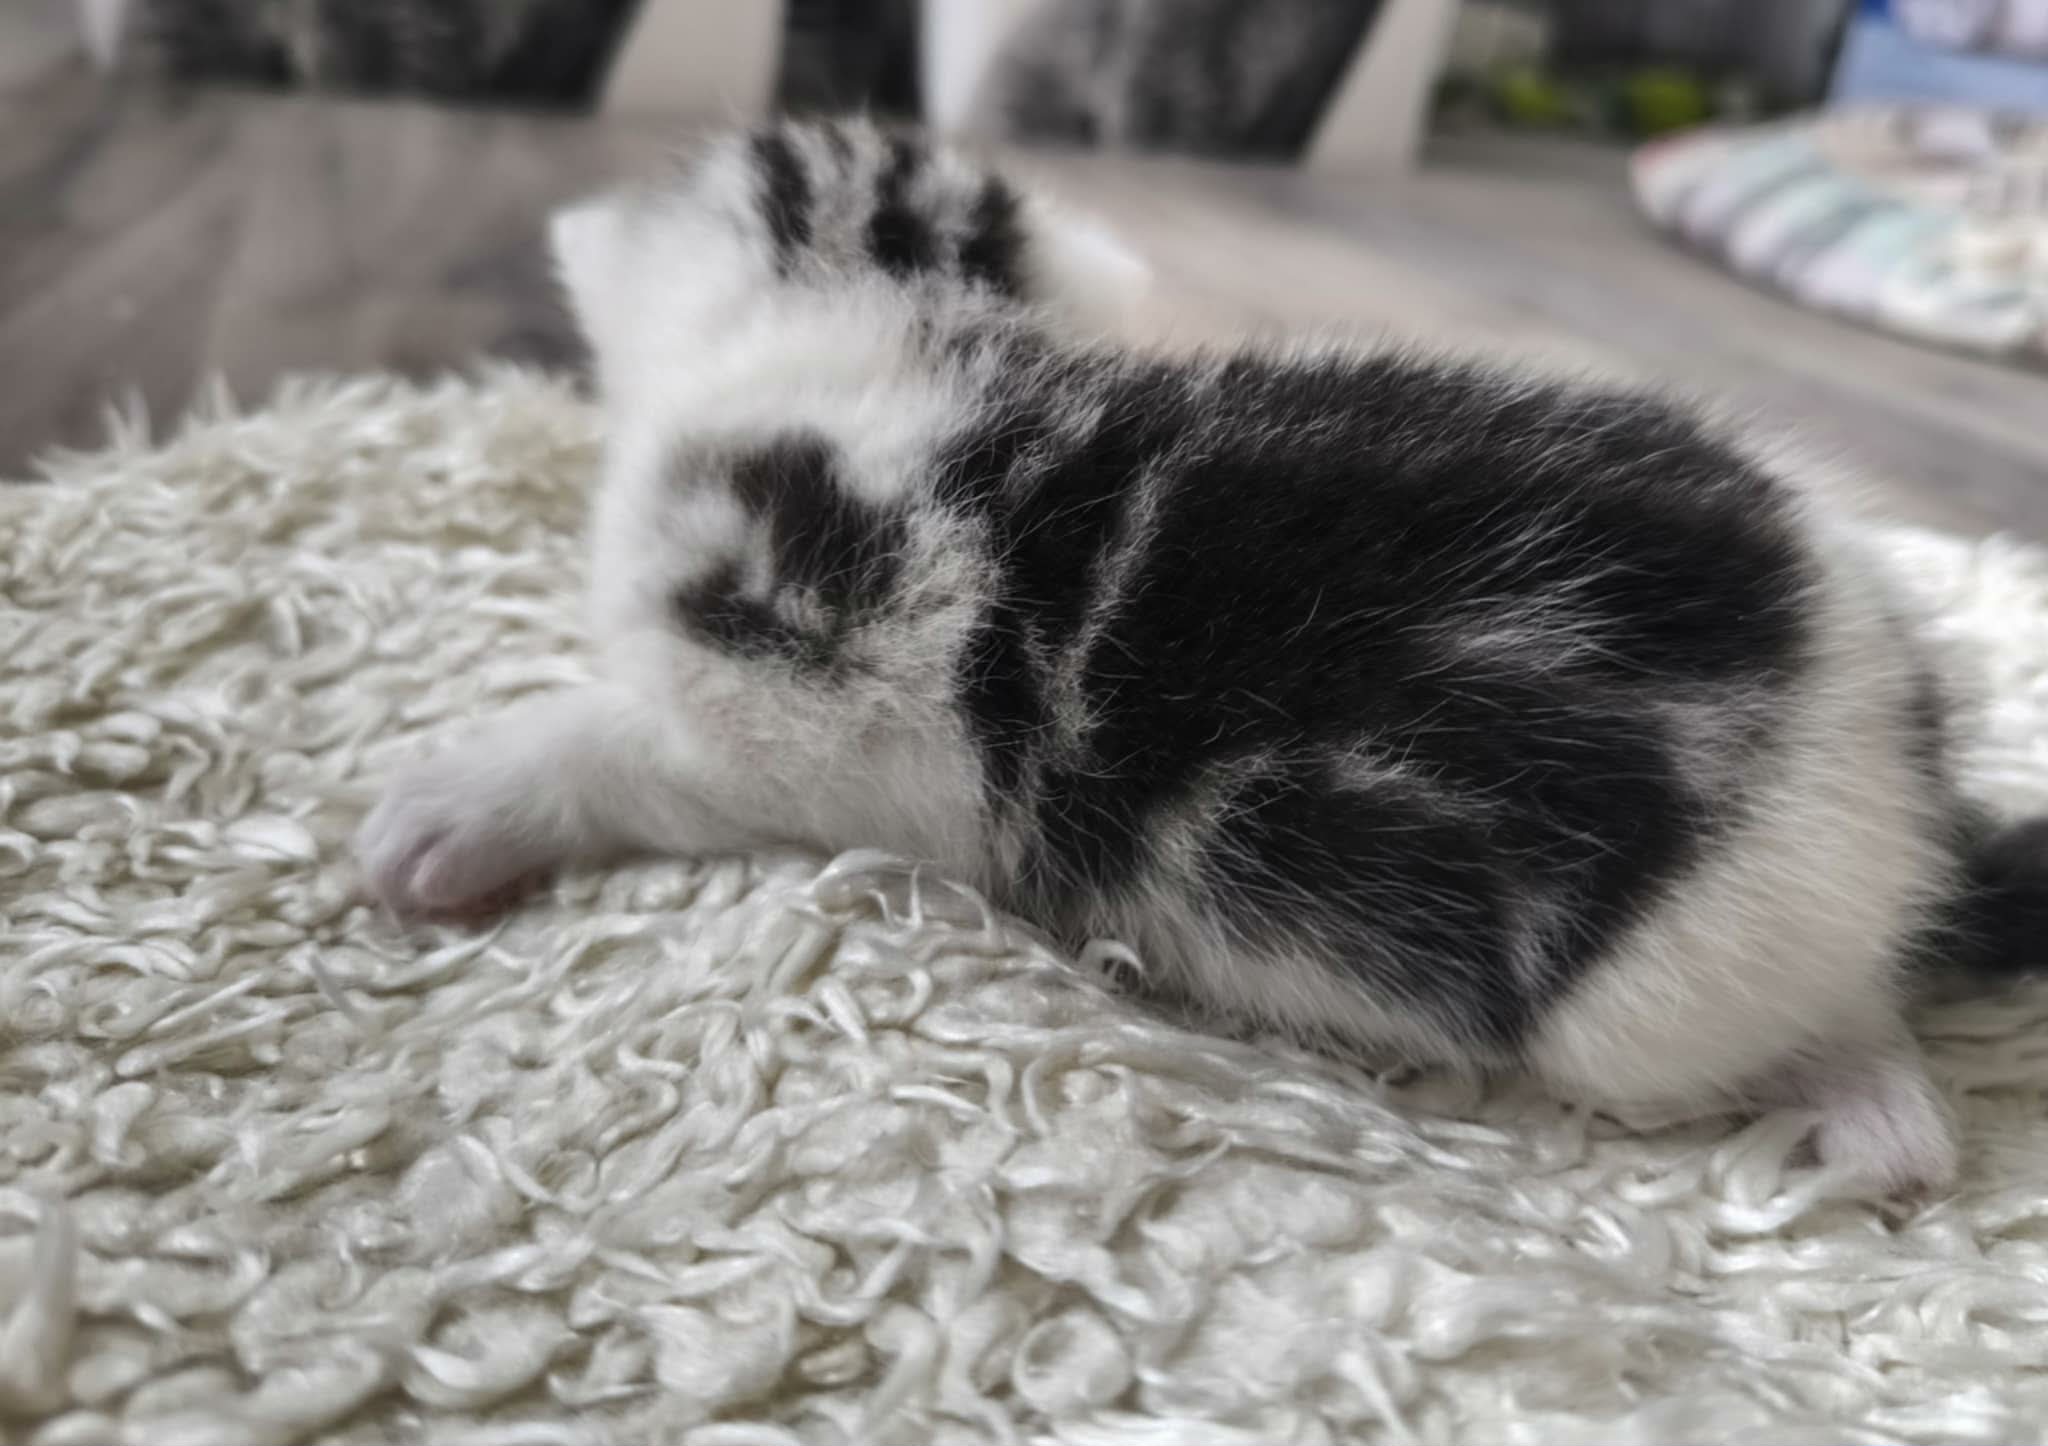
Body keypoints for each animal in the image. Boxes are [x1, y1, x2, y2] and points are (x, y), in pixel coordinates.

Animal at [358, 117, 2048, 1194]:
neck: (897, 302)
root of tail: (1890, 734)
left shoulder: (790, 693)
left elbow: (628, 740)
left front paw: (461, 801)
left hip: (1662, 996)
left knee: (1849, 1026)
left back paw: (1867, 1115)